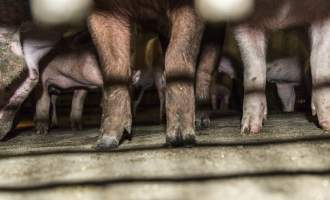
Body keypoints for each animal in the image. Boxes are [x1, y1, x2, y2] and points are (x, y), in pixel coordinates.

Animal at [88, 0, 206, 148]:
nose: (102, 144)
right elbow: (113, 67)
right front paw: (105, 142)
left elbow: (178, 54)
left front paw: (181, 139)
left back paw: (199, 122)